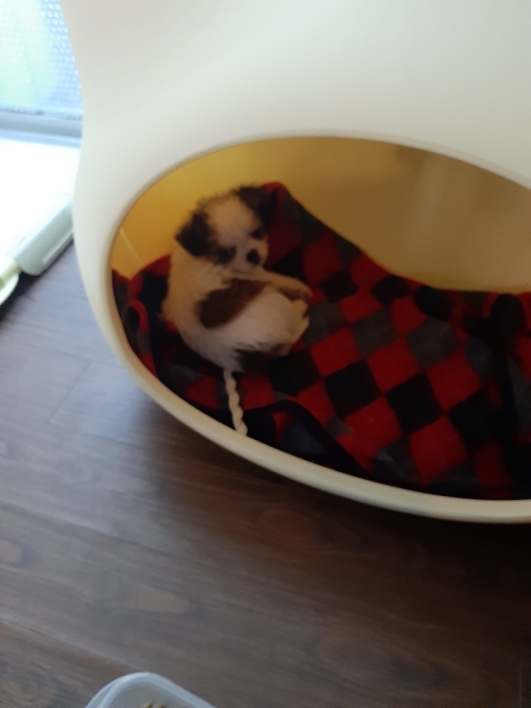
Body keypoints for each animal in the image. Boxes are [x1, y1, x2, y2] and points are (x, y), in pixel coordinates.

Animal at [162, 185, 311, 373]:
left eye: (257, 232)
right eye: (227, 253)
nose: (253, 255)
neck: (201, 258)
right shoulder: (257, 275)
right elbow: (280, 279)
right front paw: (300, 286)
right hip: (277, 305)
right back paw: (300, 307)